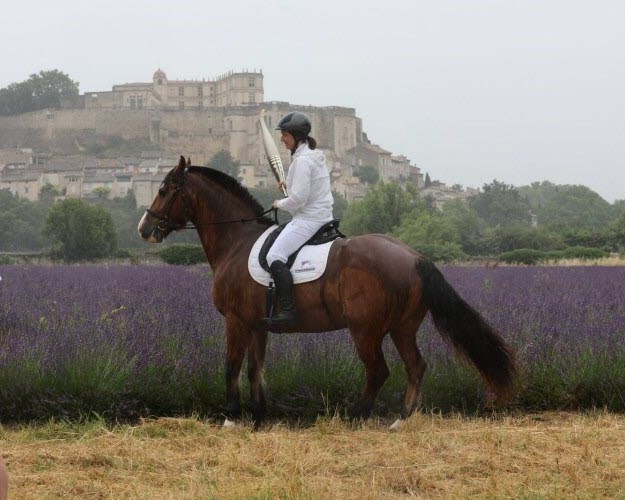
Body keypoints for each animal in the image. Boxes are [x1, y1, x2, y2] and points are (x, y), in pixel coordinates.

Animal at [139, 156, 516, 426]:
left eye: (163, 189)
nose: (145, 228)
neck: (237, 242)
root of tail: (414, 256)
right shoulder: (258, 326)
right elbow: (254, 369)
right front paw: (258, 416)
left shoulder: (236, 322)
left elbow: (231, 366)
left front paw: (231, 418)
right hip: (402, 327)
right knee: (416, 366)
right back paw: (402, 419)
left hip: (365, 330)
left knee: (379, 371)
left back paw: (357, 415)